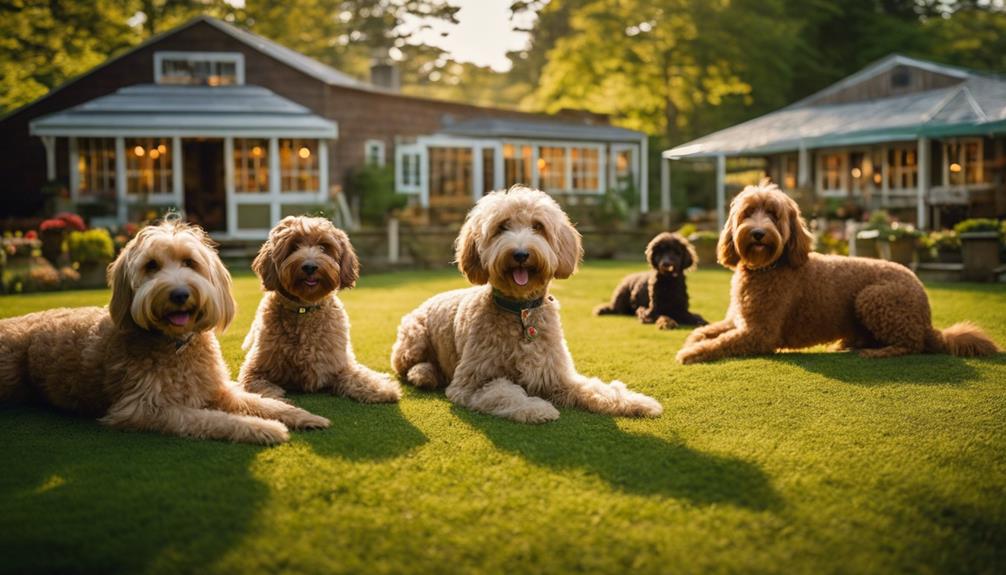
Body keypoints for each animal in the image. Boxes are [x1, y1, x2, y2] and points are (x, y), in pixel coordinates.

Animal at [0, 218, 325, 442]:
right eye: (151, 266)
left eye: (190, 262)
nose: (179, 294)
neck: (176, 345)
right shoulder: (145, 409)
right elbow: (214, 419)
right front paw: (264, 428)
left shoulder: (217, 389)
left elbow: (259, 402)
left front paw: (300, 415)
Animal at [239, 218, 400, 402]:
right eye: (293, 247)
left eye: (323, 247)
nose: (309, 266)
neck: (304, 308)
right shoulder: (254, 369)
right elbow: (258, 386)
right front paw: (275, 400)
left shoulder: (338, 364)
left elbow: (357, 376)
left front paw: (383, 388)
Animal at [388, 185, 663, 424]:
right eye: (501, 227)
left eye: (538, 226)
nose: (520, 254)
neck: (521, 311)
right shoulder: (470, 383)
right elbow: (504, 392)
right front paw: (535, 408)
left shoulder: (556, 375)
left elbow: (597, 389)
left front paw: (638, 402)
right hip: (413, 339)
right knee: (405, 367)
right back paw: (423, 374)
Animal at [676, 181, 997, 363]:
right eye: (747, 213)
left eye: (773, 215)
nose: (757, 233)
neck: (767, 267)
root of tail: (928, 319)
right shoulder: (738, 319)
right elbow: (706, 330)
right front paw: (694, 340)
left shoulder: (760, 333)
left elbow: (722, 342)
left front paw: (691, 353)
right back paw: (849, 344)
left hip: (873, 297)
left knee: (913, 344)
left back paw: (876, 352)